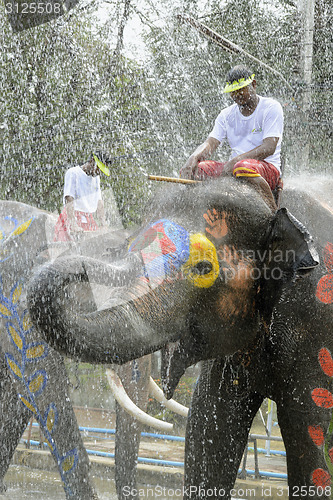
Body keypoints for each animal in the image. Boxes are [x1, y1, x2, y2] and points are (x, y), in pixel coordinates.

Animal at [0, 175, 332, 496]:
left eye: (203, 267)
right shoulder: (14, 310)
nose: (82, 266)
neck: (270, 206)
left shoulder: (318, 323)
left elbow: (306, 431)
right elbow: (208, 425)